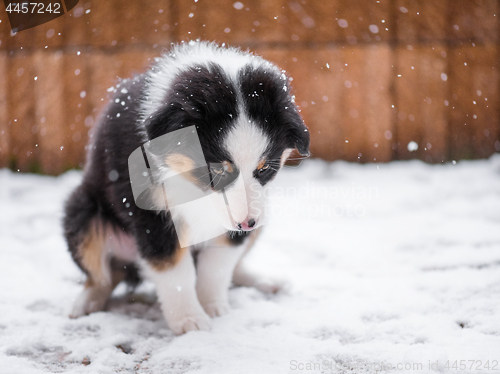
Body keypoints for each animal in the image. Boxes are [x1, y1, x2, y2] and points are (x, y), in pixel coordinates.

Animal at [63, 41, 308, 336]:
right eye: (217, 170)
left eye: (264, 168)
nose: (246, 224)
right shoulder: (151, 214)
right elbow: (175, 271)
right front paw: (190, 321)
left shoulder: (244, 214)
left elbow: (217, 264)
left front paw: (213, 307)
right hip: (81, 211)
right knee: (102, 275)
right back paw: (85, 303)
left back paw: (266, 280)